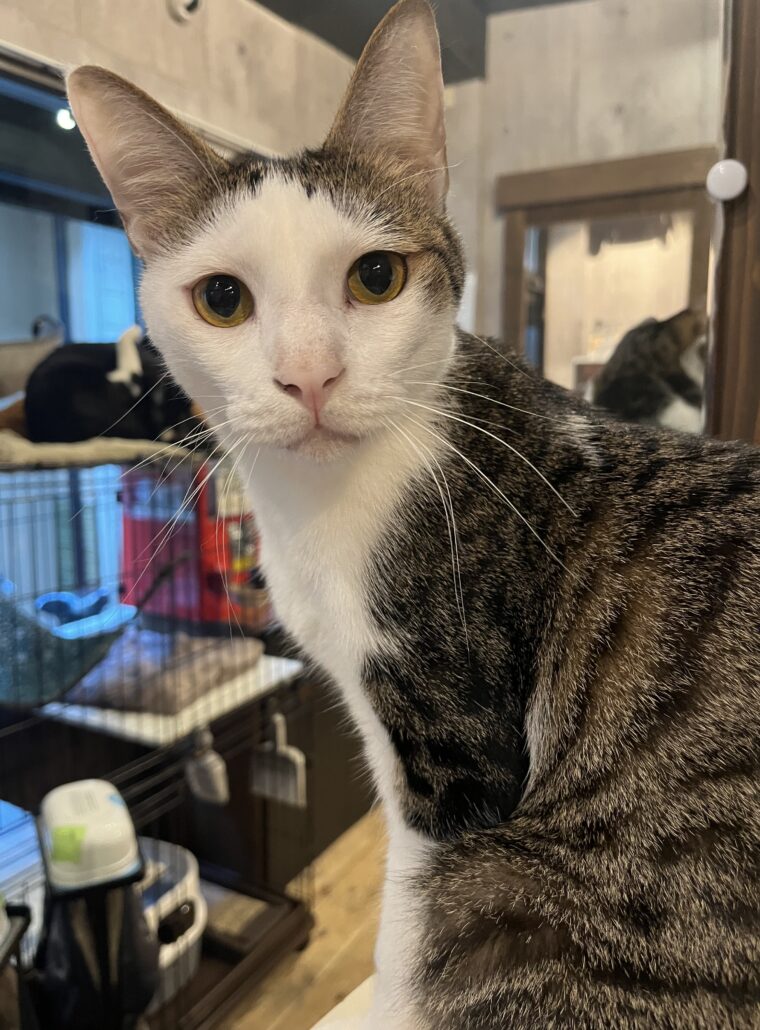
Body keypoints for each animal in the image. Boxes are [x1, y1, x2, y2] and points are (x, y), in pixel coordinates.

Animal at [68, 1, 760, 1027]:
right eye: (222, 298)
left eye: (377, 278)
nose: (308, 376)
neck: (327, 501)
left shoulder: (448, 732)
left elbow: (408, 908)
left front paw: (388, 998)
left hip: (513, 885)